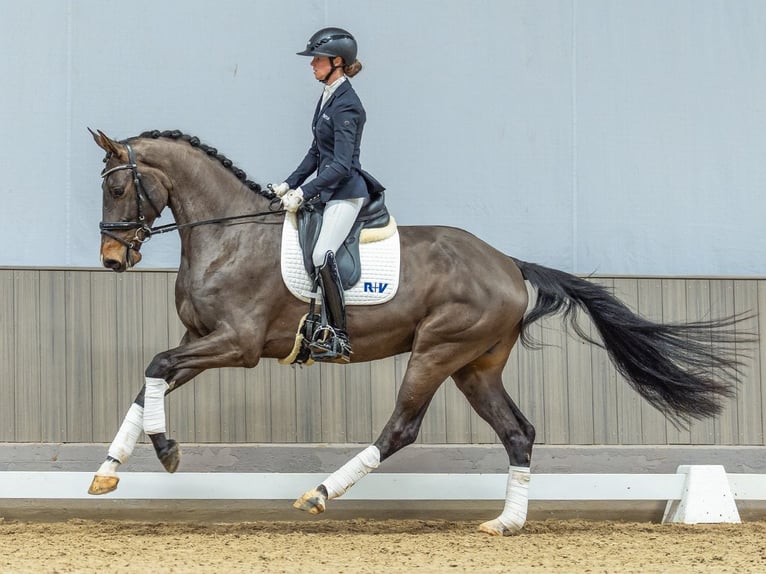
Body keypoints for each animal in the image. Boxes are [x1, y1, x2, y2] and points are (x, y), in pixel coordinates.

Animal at [88, 129, 749, 535]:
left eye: (117, 186)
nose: (113, 260)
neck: (228, 234)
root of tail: (509, 264)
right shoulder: (200, 341)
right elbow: (147, 383)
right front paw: (109, 470)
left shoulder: (238, 345)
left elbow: (153, 368)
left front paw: (166, 451)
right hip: (475, 365)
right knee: (518, 431)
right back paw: (506, 523)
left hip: (436, 351)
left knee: (402, 428)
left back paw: (320, 493)